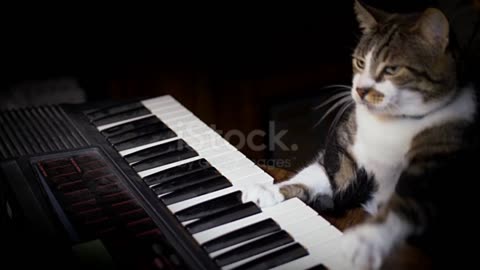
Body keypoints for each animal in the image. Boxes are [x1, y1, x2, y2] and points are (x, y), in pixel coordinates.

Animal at [244, 1, 480, 268]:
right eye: (359, 63)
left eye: (392, 69)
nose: (360, 90)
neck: (391, 124)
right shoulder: (345, 157)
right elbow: (315, 175)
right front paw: (270, 190)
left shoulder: (433, 166)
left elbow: (403, 206)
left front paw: (366, 240)